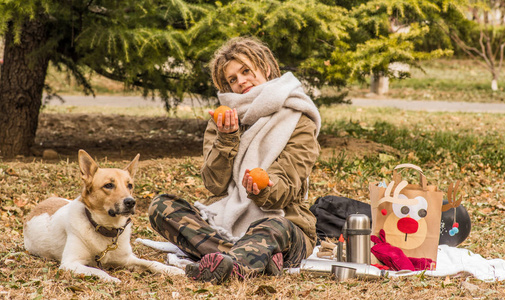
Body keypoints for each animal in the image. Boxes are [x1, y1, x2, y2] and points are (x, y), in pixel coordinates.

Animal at [23, 149, 185, 282]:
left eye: (130, 185)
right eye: (108, 185)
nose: (131, 202)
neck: (107, 228)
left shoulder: (127, 259)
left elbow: (152, 263)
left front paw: (171, 269)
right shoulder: (71, 263)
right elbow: (99, 272)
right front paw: (112, 279)